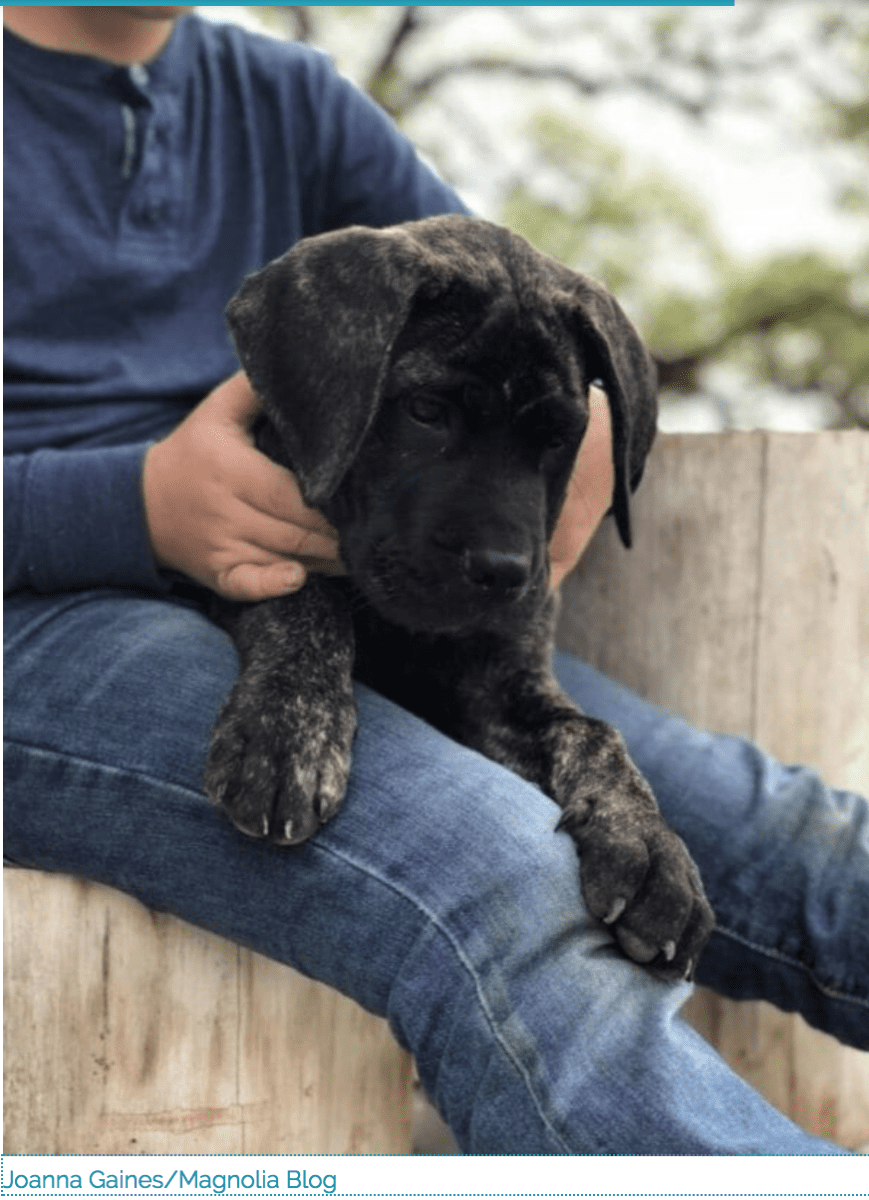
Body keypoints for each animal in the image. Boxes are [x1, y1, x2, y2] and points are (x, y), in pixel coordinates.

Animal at [207, 216, 715, 984]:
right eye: (425, 411)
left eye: (560, 438)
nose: (506, 573)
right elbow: (303, 602)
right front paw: (286, 733)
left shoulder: (499, 684)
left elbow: (594, 730)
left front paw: (648, 841)